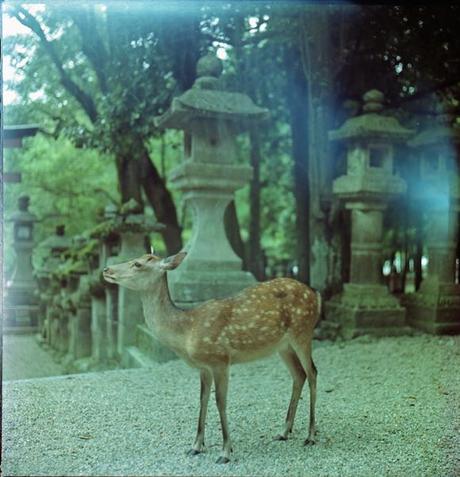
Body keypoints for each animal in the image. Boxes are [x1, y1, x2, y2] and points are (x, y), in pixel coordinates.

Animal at [103, 251, 320, 462]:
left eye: (138, 264)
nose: (106, 269)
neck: (186, 332)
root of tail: (315, 295)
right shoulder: (203, 367)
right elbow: (203, 399)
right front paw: (196, 447)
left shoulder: (220, 359)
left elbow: (220, 401)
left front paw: (225, 452)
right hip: (283, 346)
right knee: (298, 375)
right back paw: (283, 432)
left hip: (303, 331)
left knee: (312, 372)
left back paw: (310, 436)